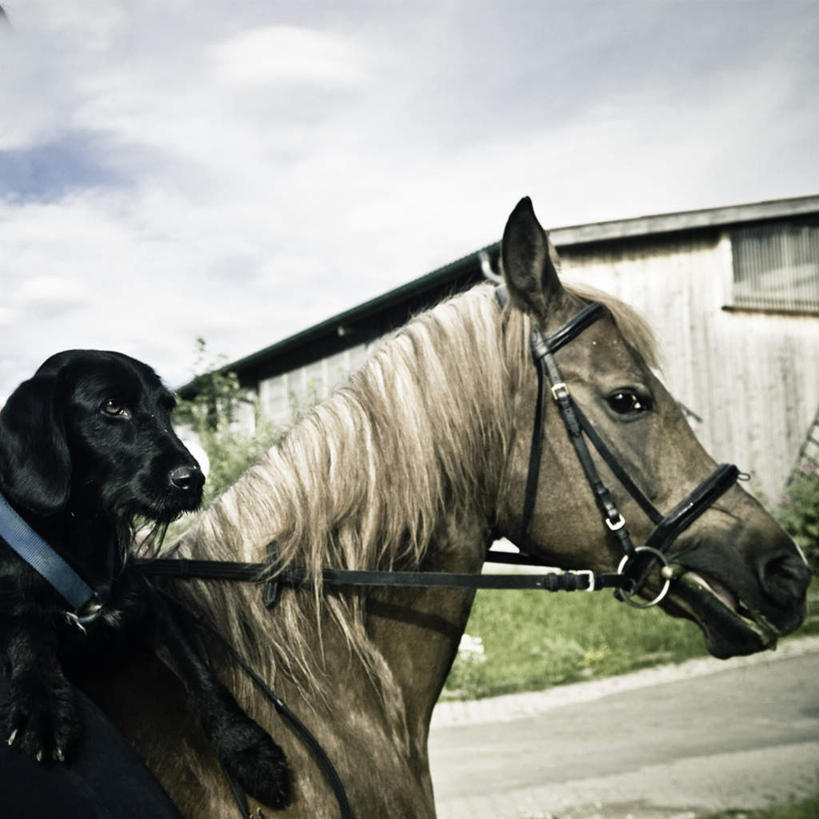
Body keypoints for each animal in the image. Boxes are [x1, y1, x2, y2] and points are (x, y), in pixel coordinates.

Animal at [0, 352, 290, 812]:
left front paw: (246, 748)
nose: (193, 480)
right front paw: (41, 704)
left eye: (167, 407)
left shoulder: (154, 610)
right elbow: (25, 629)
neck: (83, 538)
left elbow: (202, 677)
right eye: (112, 407)